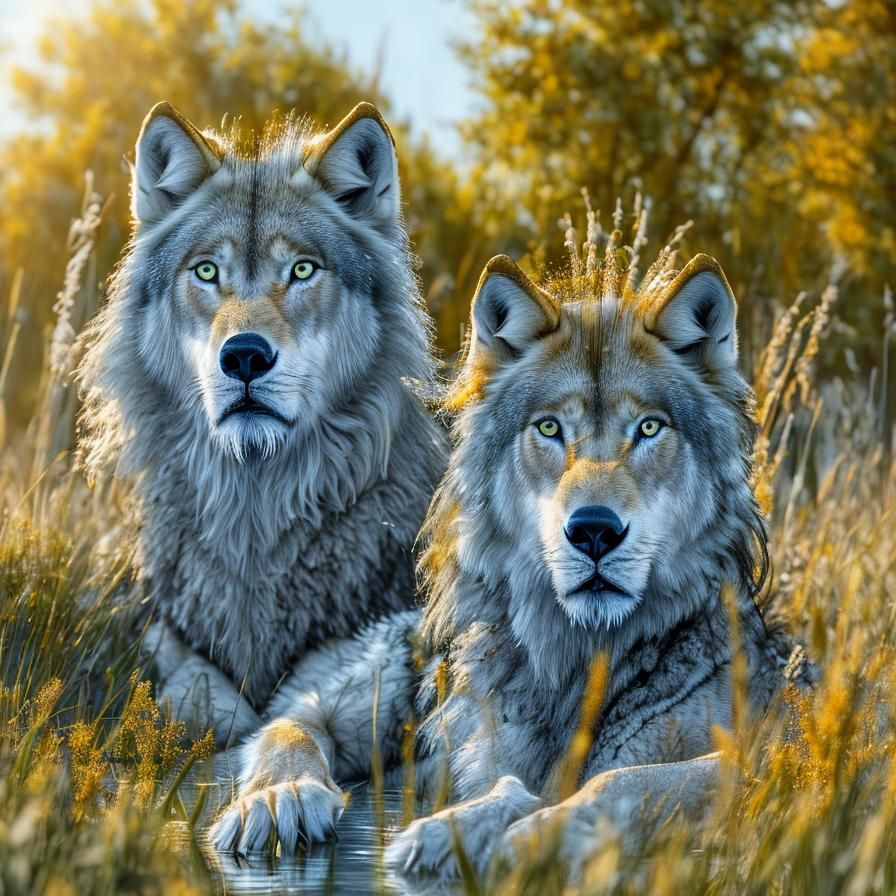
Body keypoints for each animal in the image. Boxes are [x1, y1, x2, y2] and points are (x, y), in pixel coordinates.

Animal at [76, 101, 445, 748]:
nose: (245, 356)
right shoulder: (159, 629)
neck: (255, 517)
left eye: (301, 270)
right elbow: (192, 688)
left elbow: (303, 713)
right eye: (206, 271)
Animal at [208, 251, 811, 880]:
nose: (594, 530)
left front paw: (515, 835)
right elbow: (289, 732)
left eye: (648, 428)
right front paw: (276, 801)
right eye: (549, 428)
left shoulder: (774, 759)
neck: (571, 662)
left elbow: (621, 781)